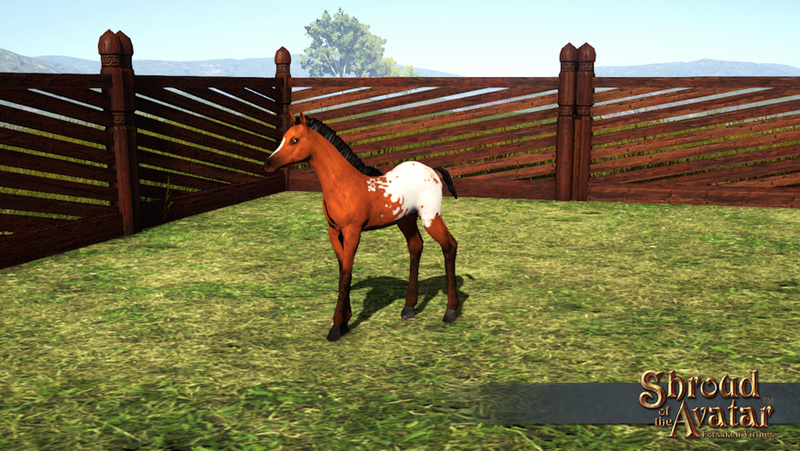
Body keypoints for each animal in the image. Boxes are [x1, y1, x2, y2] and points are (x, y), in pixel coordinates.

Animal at [264, 111, 460, 341]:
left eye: (294, 140)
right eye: (283, 138)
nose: (268, 164)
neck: (343, 184)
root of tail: (433, 171)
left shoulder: (353, 231)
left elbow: (346, 273)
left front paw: (336, 327)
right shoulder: (334, 231)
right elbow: (343, 268)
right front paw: (345, 321)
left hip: (430, 217)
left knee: (449, 246)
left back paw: (451, 311)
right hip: (406, 219)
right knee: (416, 246)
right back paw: (409, 308)